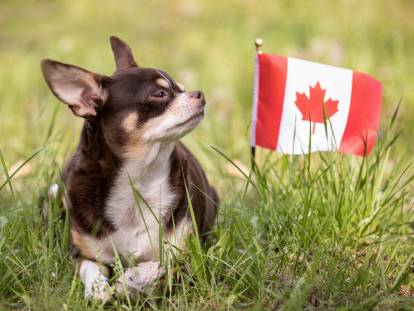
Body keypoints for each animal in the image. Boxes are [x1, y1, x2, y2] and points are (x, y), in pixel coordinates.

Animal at [40, 36, 218, 302]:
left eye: (181, 88)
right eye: (160, 93)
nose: (199, 94)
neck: (139, 178)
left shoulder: (183, 255)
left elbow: (159, 265)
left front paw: (134, 280)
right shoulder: (84, 256)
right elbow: (92, 273)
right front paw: (98, 289)